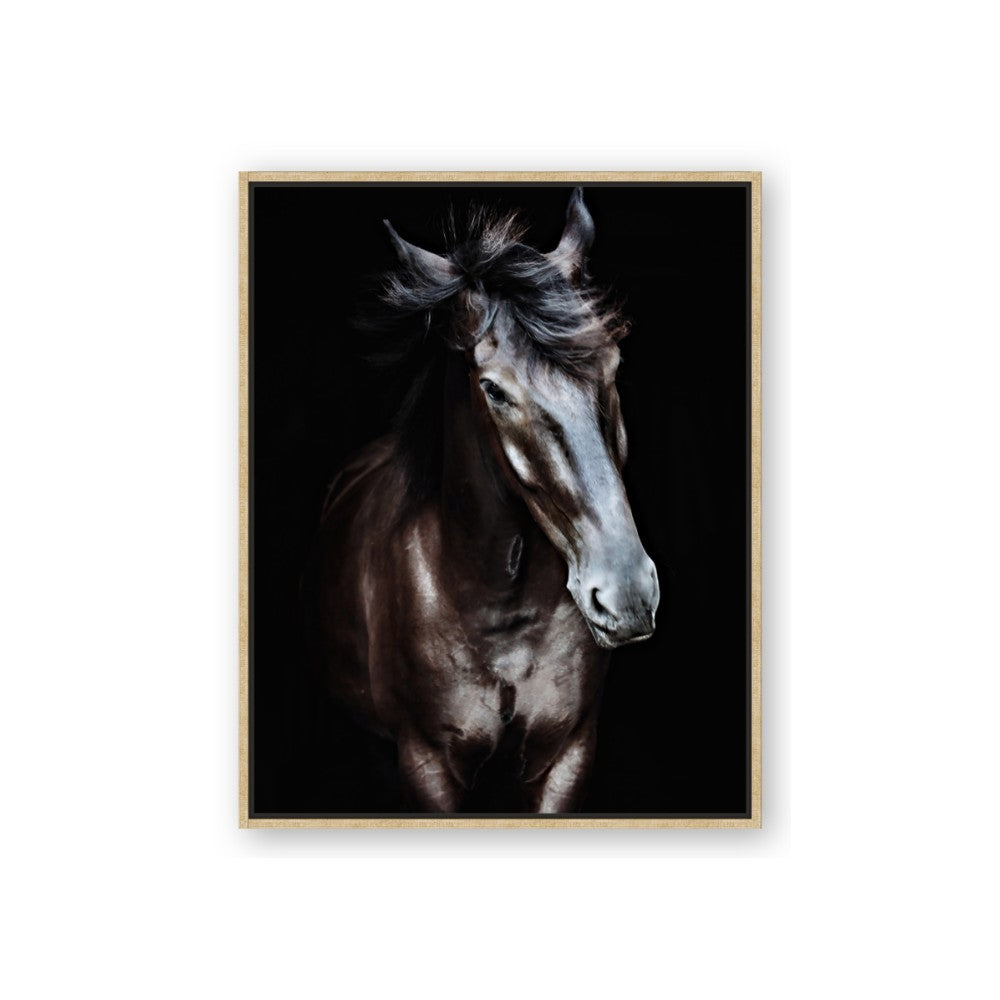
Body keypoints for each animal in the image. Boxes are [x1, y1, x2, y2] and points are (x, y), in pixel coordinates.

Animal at [304, 188, 659, 813]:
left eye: (613, 363)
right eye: (493, 389)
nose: (627, 594)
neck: (498, 609)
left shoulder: (567, 757)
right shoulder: (426, 765)